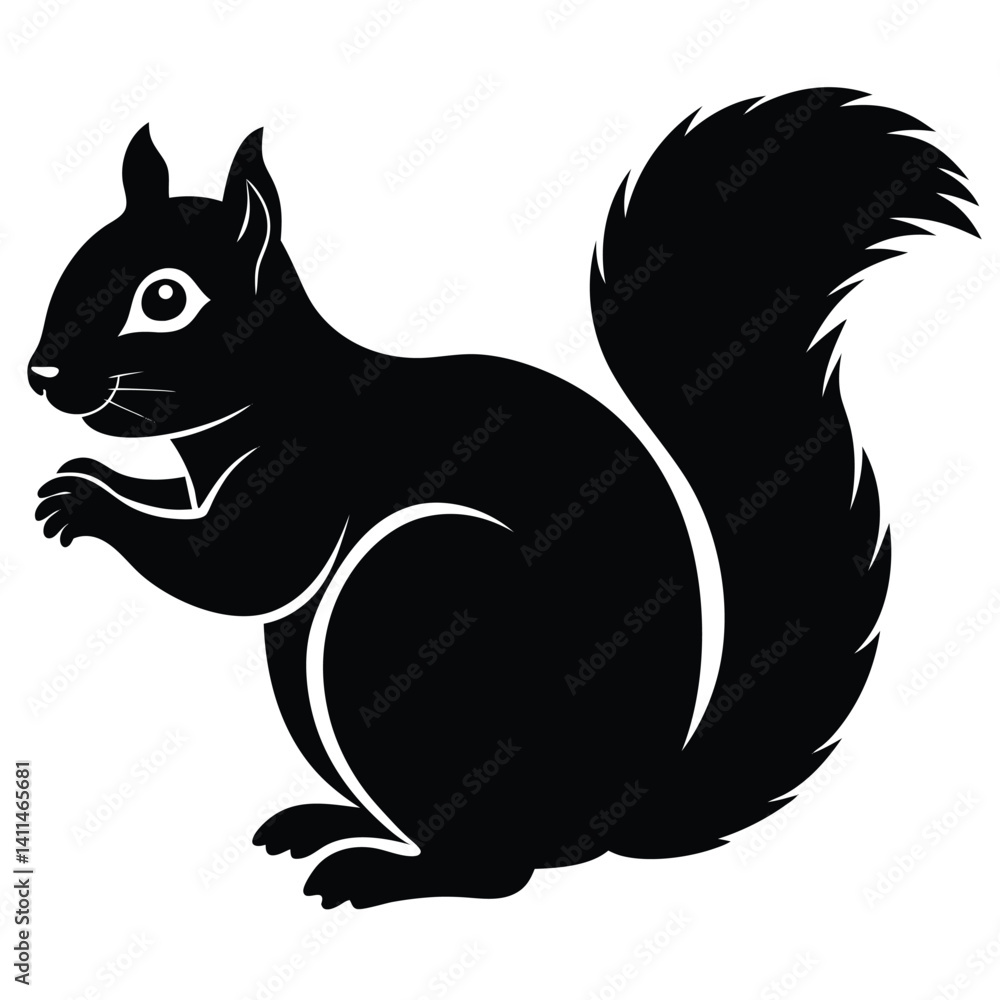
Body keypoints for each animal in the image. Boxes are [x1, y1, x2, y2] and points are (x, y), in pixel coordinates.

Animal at [28, 88, 978, 909]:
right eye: (78, 261)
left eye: (165, 298)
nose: (41, 374)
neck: (271, 388)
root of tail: (619, 812)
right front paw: (91, 483)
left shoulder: (308, 471)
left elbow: (240, 568)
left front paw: (87, 502)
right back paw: (330, 824)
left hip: (418, 608)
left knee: (498, 872)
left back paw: (382, 874)